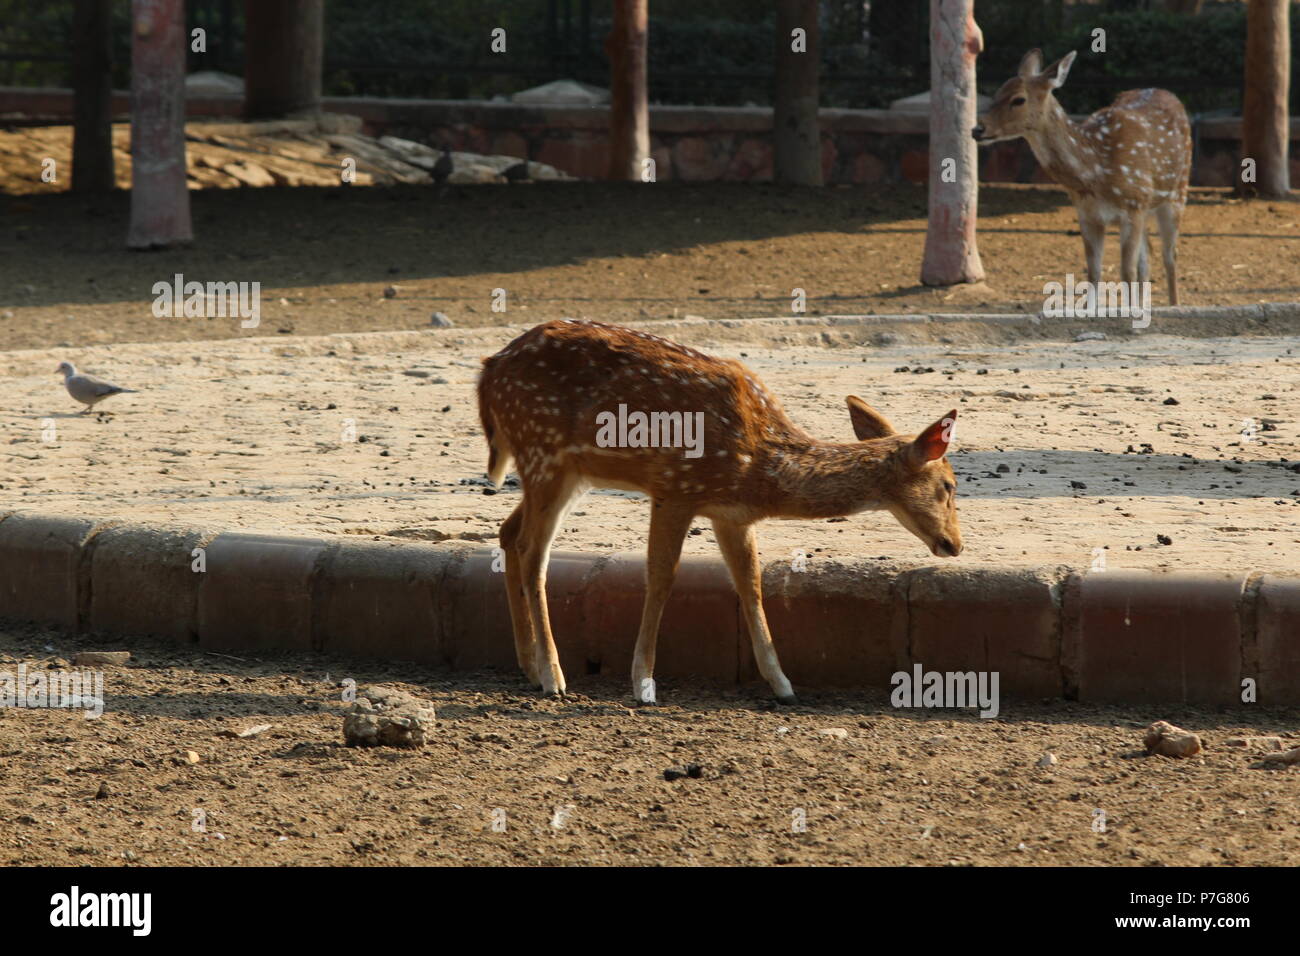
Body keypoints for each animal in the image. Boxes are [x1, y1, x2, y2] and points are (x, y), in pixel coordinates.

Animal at [473, 321, 961, 702]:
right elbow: (662, 578)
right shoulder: (674, 487)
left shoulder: (732, 515)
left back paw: (527, 666)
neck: (760, 467)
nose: (955, 543)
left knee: (508, 533)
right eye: (950, 485)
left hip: (567, 471)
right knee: (532, 551)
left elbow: (751, 584)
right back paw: (552, 676)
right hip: (544, 452)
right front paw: (643, 684)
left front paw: (783, 685)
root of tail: (488, 370)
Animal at [977, 48, 1190, 304]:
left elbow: (1125, 272)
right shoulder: (1087, 214)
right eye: (996, 94)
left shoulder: (1133, 205)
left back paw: (1174, 304)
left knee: (1170, 255)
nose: (977, 129)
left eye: (1018, 99)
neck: (1094, 174)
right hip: (1149, 206)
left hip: (1177, 192)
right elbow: (1094, 274)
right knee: (1147, 256)